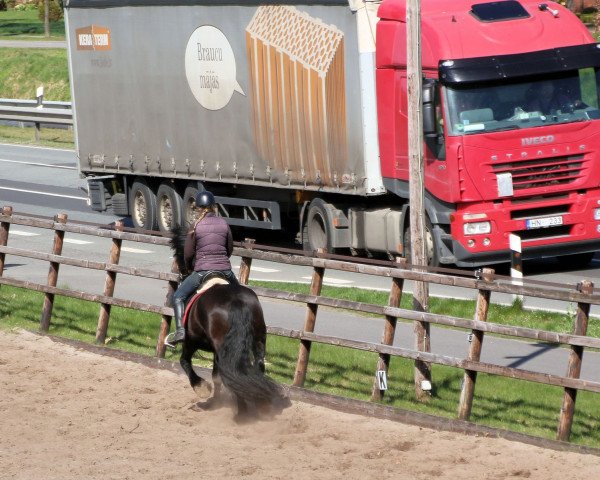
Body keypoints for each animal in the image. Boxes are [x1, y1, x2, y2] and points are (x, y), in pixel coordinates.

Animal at [169, 224, 290, 416]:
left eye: (179, 255)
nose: (181, 274)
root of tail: (236, 301)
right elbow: (217, 376)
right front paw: (213, 402)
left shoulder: (191, 341)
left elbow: (185, 362)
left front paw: (202, 389)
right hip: (258, 339)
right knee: (256, 366)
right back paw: (259, 405)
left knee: (229, 372)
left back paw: (242, 412)